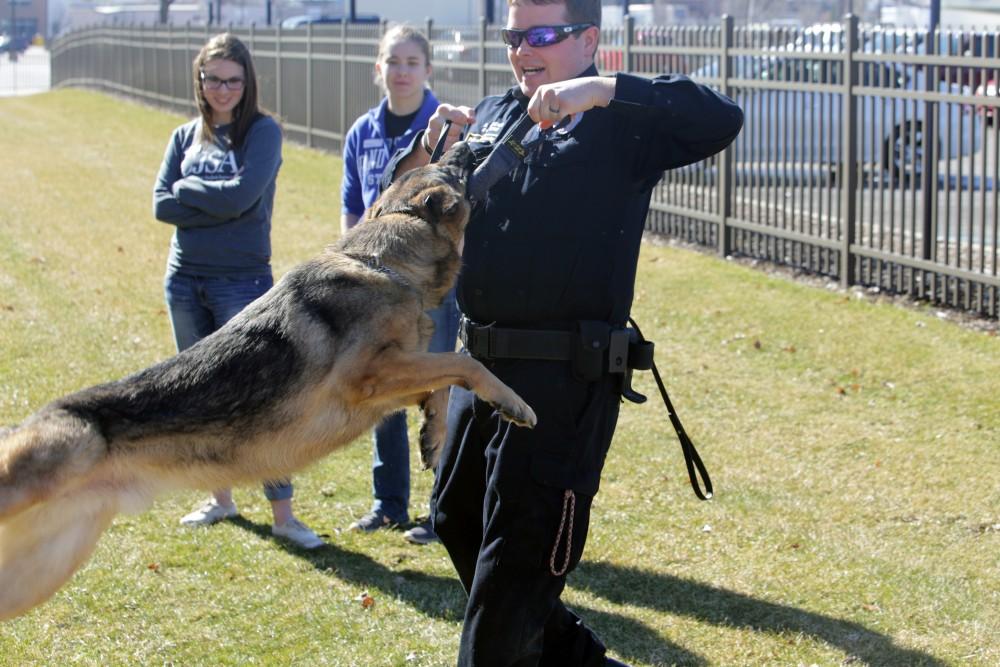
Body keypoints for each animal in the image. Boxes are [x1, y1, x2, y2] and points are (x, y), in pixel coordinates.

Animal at [0, 144, 536, 624]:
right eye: (453, 165)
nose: (471, 140)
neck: (384, 261)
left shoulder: (389, 382)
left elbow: (441, 382)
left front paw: (432, 436)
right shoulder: (369, 378)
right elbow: (466, 364)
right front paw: (514, 403)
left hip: (38, 571)